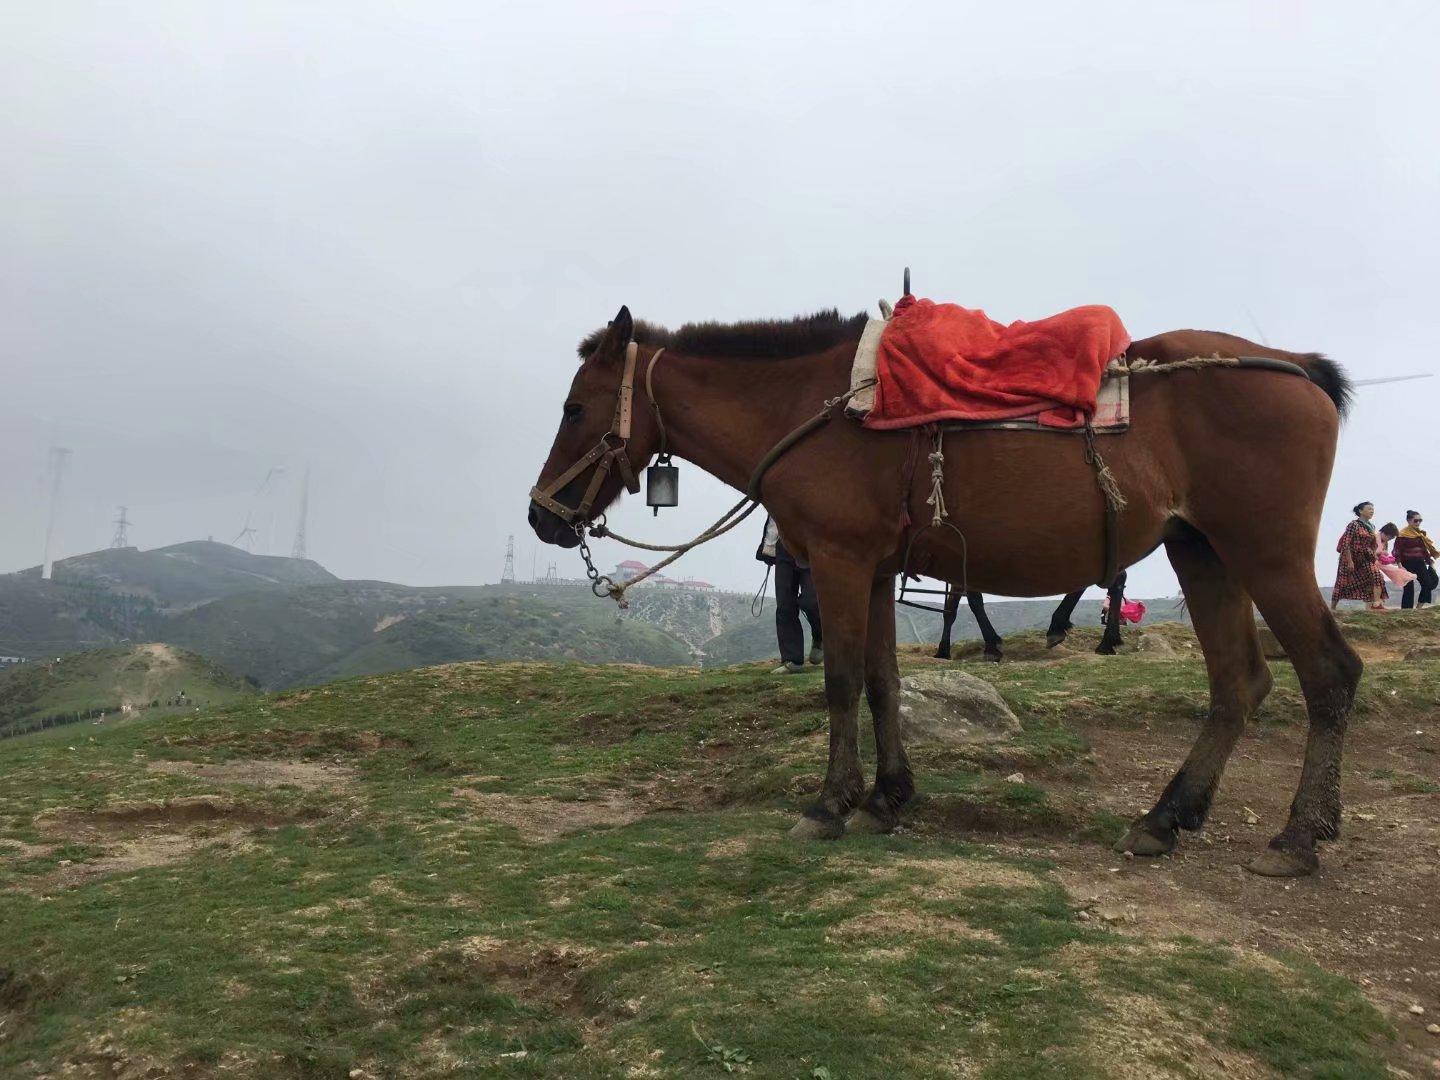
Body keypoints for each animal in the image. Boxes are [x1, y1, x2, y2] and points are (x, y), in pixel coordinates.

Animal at [524, 306, 1353, 881]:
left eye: (574, 408)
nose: (540, 516)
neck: (814, 406)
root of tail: (1294, 367)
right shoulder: (877, 569)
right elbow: (885, 681)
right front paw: (889, 798)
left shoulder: (839, 560)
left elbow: (841, 680)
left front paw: (830, 804)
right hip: (1203, 552)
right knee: (1239, 683)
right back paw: (1166, 817)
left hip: (1266, 553)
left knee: (1328, 673)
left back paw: (1299, 836)